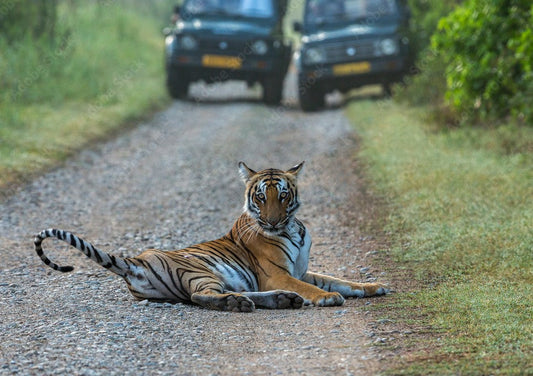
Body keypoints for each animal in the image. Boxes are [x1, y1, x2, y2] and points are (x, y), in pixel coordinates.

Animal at [35, 162, 388, 312]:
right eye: (261, 197)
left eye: (284, 195)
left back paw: (279, 300)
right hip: (201, 271)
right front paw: (327, 297)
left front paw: (373, 287)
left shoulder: (301, 270)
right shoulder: (277, 273)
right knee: (199, 297)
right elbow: (316, 288)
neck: (292, 228)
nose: (272, 221)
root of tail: (136, 260)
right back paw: (242, 304)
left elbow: (341, 280)